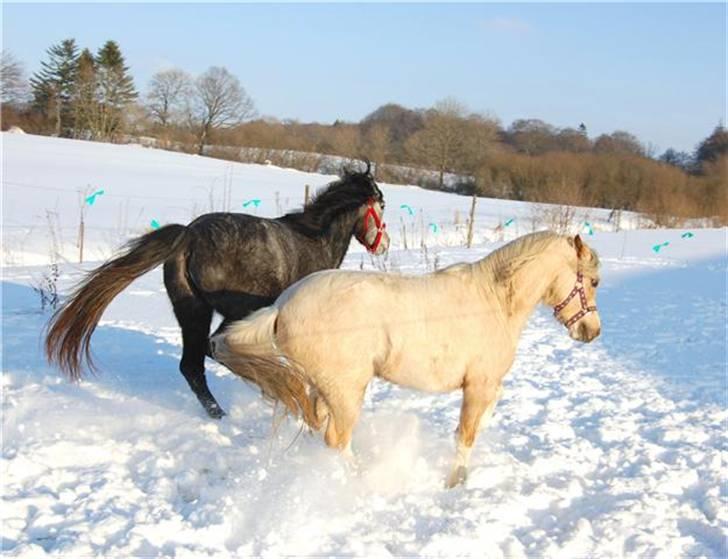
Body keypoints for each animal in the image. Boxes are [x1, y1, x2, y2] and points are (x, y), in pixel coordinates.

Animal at [45, 166, 390, 419]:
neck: (314, 240)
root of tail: (188, 236)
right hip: (235, 310)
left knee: (193, 365)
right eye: (382, 205)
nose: (383, 245)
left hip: (193, 310)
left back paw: (221, 411)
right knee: (215, 348)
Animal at [210, 231, 601, 487]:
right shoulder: (478, 386)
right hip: (346, 392)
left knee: (317, 425)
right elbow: (465, 437)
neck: (495, 300)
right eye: (594, 281)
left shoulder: (488, 386)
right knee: (336, 440)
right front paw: (455, 483)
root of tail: (281, 306)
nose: (592, 332)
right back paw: (362, 478)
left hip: (322, 388)